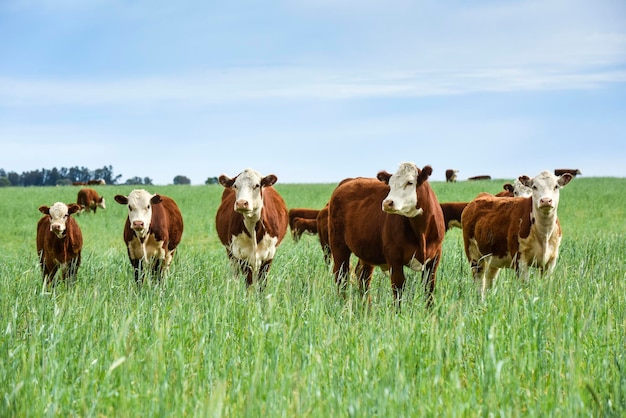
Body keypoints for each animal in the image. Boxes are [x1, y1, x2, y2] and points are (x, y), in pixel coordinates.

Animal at [326, 162, 444, 306]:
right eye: (390, 184)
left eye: (410, 182)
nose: (387, 203)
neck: (421, 231)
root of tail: (348, 181)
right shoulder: (394, 257)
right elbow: (398, 288)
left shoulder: (435, 257)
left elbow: (429, 288)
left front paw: (429, 310)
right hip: (338, 245)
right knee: (341, 276)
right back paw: (342, 304)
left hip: (366, 250)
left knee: (363, 276)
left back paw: (366, 307)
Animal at [458, 170, 572, 298]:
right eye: (534, 187)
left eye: (556, 186)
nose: (546, 200)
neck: (544, 234)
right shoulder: (520, 260)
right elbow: (525, 286)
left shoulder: (551, 261)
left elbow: (545, 286)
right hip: (474, 255)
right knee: (479, 282)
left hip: (493, 257)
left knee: (489, 280)